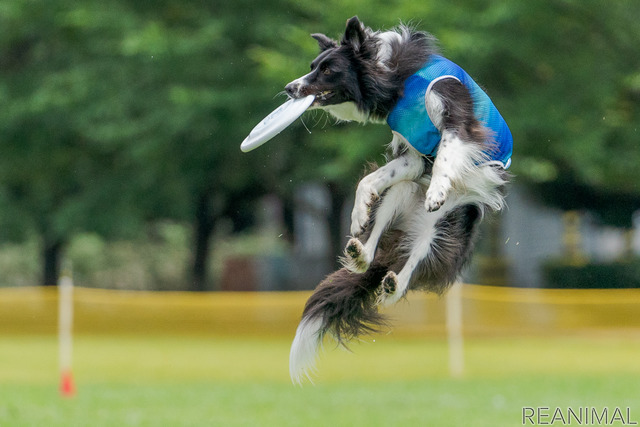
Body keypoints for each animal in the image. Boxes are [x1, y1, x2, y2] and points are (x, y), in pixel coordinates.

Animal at [286, 16, 516, 384]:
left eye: (328, 70)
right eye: (312, 67)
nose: (290, 88)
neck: (396, 78)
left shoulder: (457, 120)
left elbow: (447, 152)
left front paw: (437, 190)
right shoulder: (412, 157)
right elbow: (369, 181)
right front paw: (358, 210)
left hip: (444, 228)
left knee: (416, 260)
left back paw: (396, 282)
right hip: (401, 194)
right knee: (377, 238)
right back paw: (361, 253)